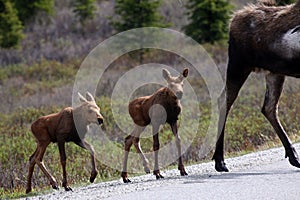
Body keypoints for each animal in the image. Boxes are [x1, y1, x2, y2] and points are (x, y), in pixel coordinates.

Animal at [214, 0, 300, 172]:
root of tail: (233, 19)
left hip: (273, 72)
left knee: (268, 107)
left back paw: (293, 156)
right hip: (238, 65)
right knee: (224, 101)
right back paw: (220, 161)